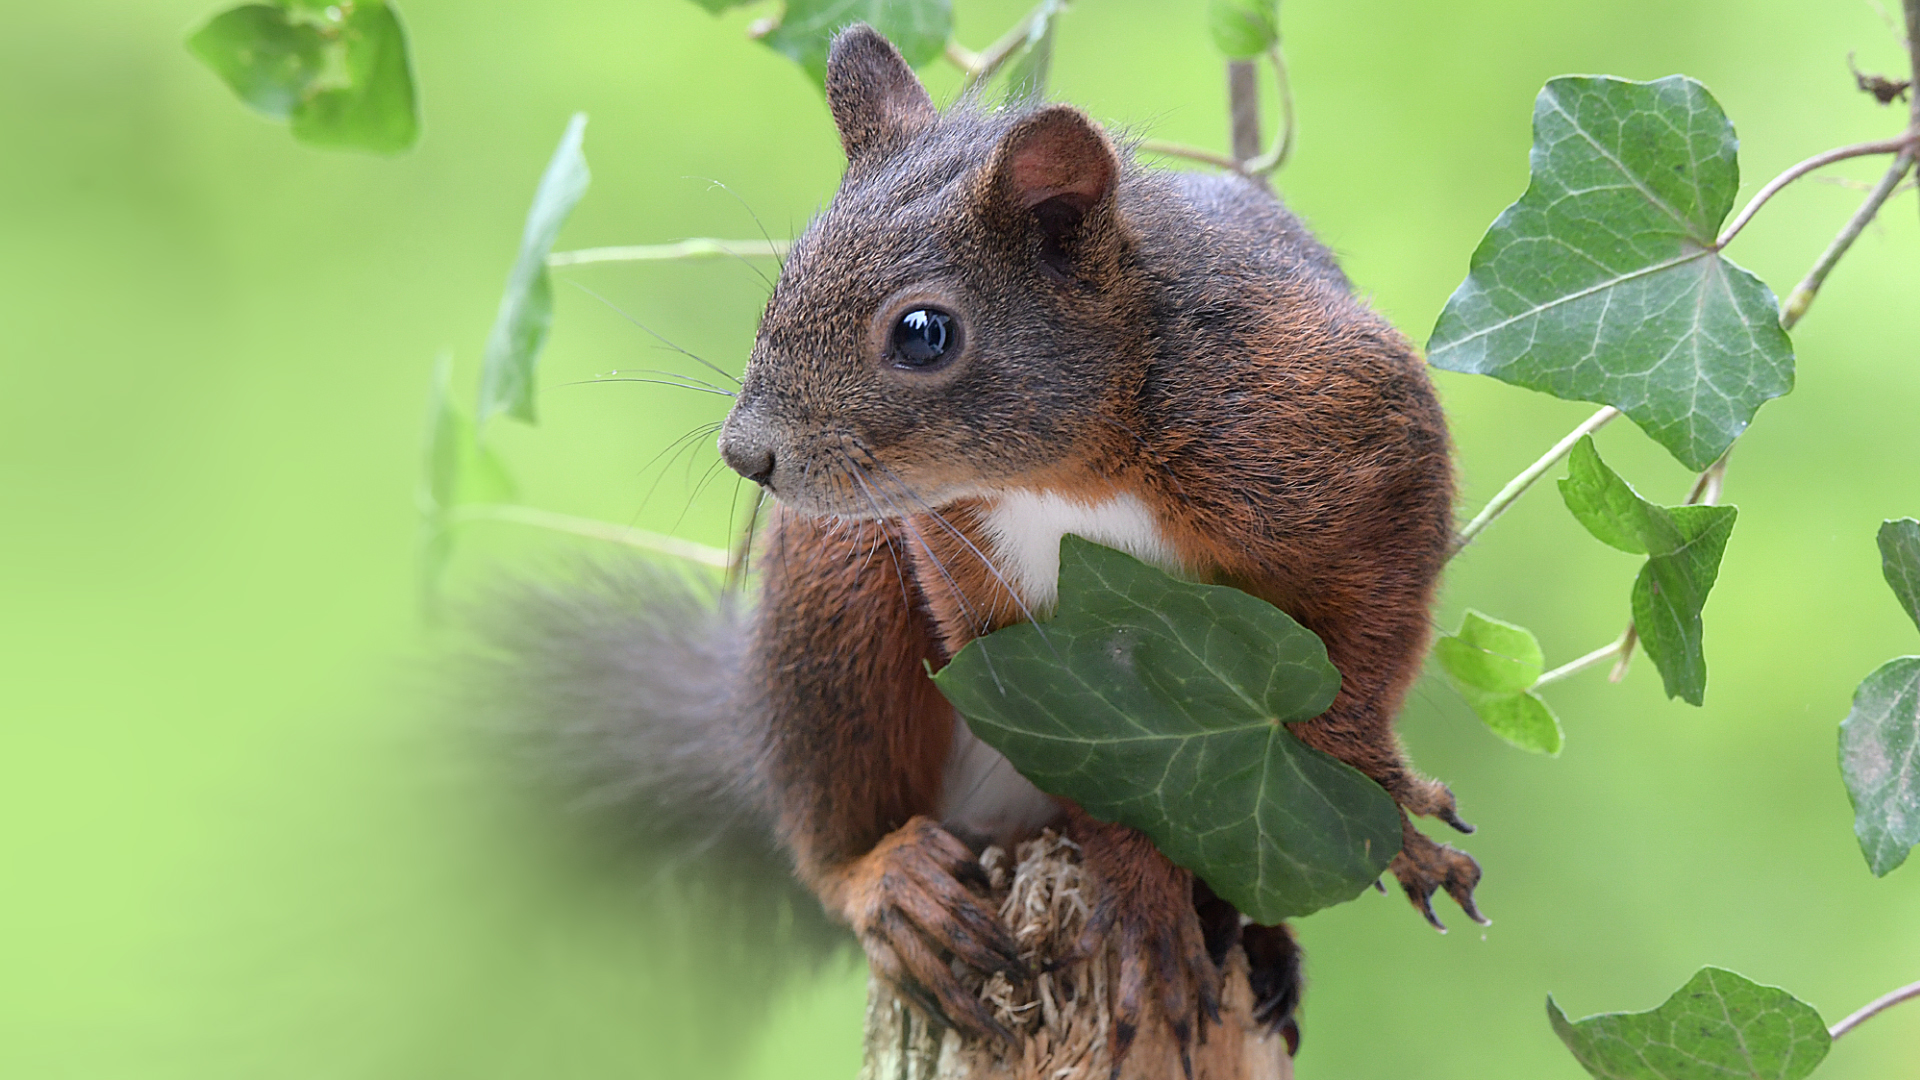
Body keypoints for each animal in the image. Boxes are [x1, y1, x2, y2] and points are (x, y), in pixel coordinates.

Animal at [476, 23, 1482, 1068]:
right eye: (786, 276)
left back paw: (1254, 927)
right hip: (838, 599)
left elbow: (1366, 660)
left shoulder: (1349, 435)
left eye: (924, 332)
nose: (745, 454)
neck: (1072, 468)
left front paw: (1386, 811)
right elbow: (1082, 749)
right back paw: (897, 886)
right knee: (834, 833)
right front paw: (1145, 911)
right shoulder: (979, 584)